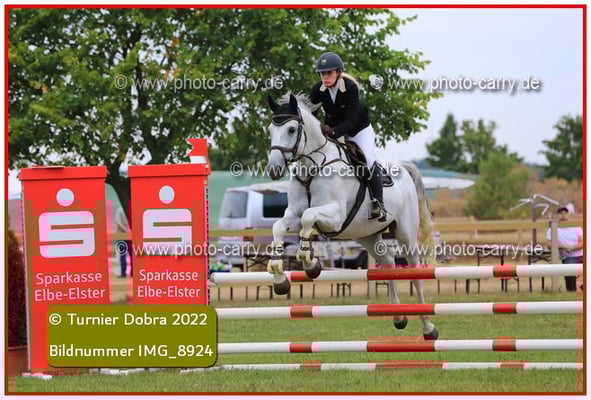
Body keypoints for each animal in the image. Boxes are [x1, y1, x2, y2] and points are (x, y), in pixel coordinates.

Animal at [265, 92, 439, 340]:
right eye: (270, 129)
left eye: (290, 129)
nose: (274, 169)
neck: (312, 167)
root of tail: (403, 168)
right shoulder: (293, 215)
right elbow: (279, 227)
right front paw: (280, 280)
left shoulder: (335, 215)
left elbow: (309, 216)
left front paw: (310, 263)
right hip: (367, 235)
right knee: (389, 262)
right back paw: (398, 316)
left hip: (405, 233)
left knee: (414, 270)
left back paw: (428, 327)